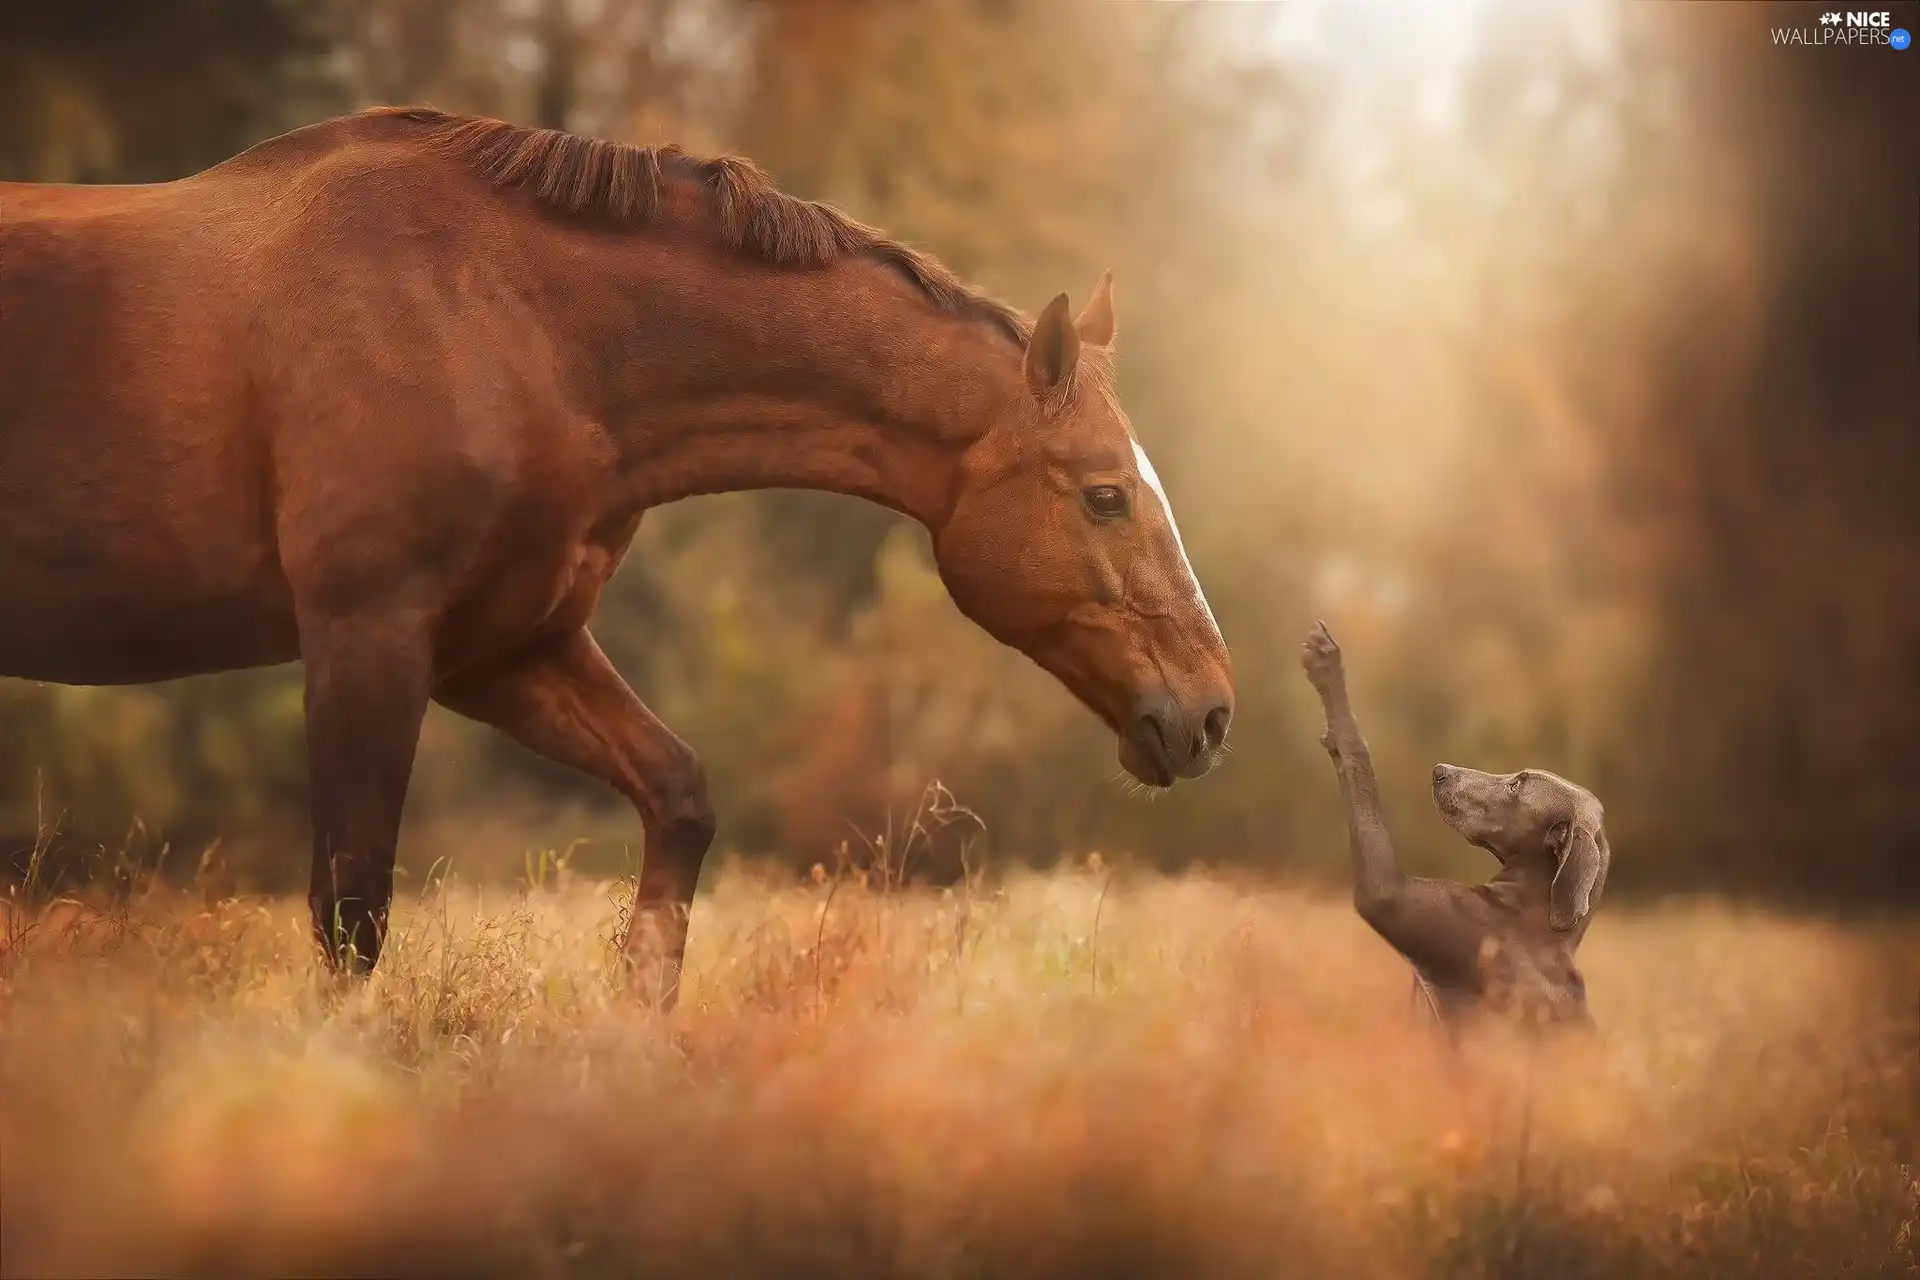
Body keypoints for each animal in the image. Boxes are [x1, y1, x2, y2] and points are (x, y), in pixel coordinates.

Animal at [0, 107, 1228, 1013]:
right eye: (1106, 494)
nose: (1210, 713)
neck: (510, 317)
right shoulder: (367, 641)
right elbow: (351, 911)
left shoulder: (503, 650)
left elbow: (678, 802)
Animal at [1305, 621, 1605, 1043]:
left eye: (1518, 785)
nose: (1439, 771)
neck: (1536, 914)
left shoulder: (1394, 898)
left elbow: (1356, 752)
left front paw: (1327, 665)